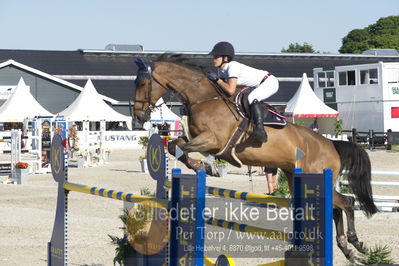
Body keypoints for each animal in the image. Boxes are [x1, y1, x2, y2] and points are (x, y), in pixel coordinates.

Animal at [133, 55, 380, 260]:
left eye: (142, 83)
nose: (138, 117)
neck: (203, 98)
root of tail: (330, 143)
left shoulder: (212, 140)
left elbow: (181, 148)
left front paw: (205, 167)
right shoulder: (197, 138)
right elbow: (175, 145)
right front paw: (202, 167)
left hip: (315, 175)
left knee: (347, 202)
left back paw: (355, 242)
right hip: (297, 178)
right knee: (336, 208)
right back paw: (346, 248)